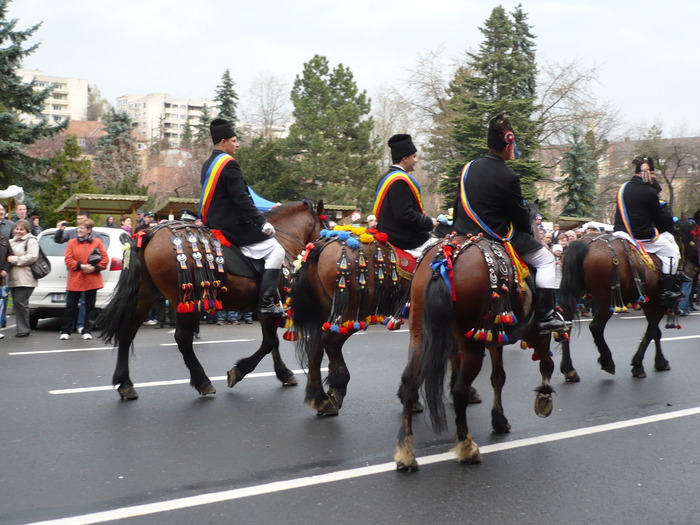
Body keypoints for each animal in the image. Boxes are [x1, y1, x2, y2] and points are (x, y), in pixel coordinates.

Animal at [99, 199, 328, 400]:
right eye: (325, 227)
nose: (325, 248)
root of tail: (151, 233)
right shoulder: (268, 306)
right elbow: (268, 342)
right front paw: (239, 370)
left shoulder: (266, 308)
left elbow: (272, 343)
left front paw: (283, 373)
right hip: (185, 301)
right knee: (182, 339)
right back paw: (202, 381)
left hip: (146, 295)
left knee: (127, 332)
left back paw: (125, 384)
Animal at [556, 232, 672, 376]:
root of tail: (584, 243)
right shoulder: (659, 304)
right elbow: (652, 331)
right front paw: (640, 364)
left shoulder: (650, 304)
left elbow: (655, 332)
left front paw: (659, 362)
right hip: (607, 302)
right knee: (596, 327)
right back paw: (607, 361)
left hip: (575, 291)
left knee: (567, 325)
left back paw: (569, 369)